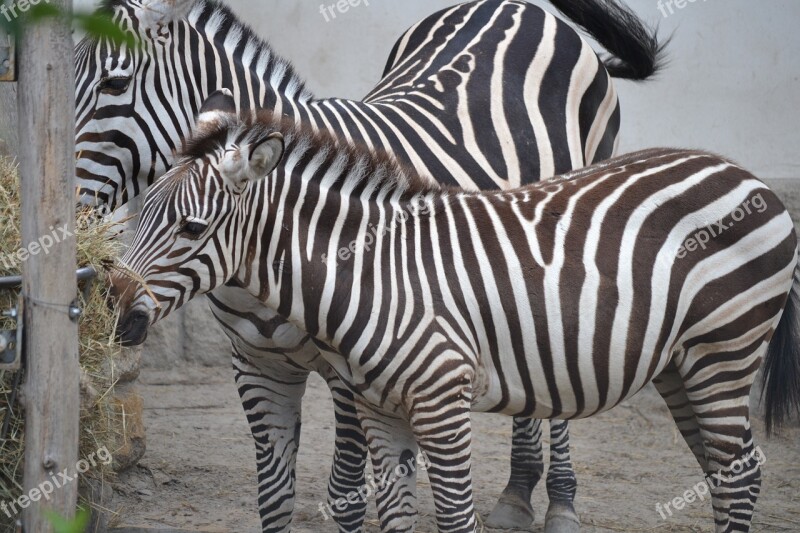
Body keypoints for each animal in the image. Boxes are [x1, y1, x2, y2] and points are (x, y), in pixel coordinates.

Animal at [75, 0, 664, 528]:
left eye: (114, 83)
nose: (72, 218)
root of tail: (517, 5)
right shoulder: (257, 366)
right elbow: (274, 498)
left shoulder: (350, 373)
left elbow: (347, 496)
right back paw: (517, 495)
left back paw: (558, 503)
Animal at [108, 104, 800, 532]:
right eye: (138, 214)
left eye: (192, 228)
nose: (115, 315)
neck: (376, 271)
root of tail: (748, 177)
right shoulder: (380, 408)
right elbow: (394, 517)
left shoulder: (442, 402)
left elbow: (457, 516)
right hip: (682, 365)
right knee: (729, 471)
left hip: (725, 352)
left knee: (738, 473)